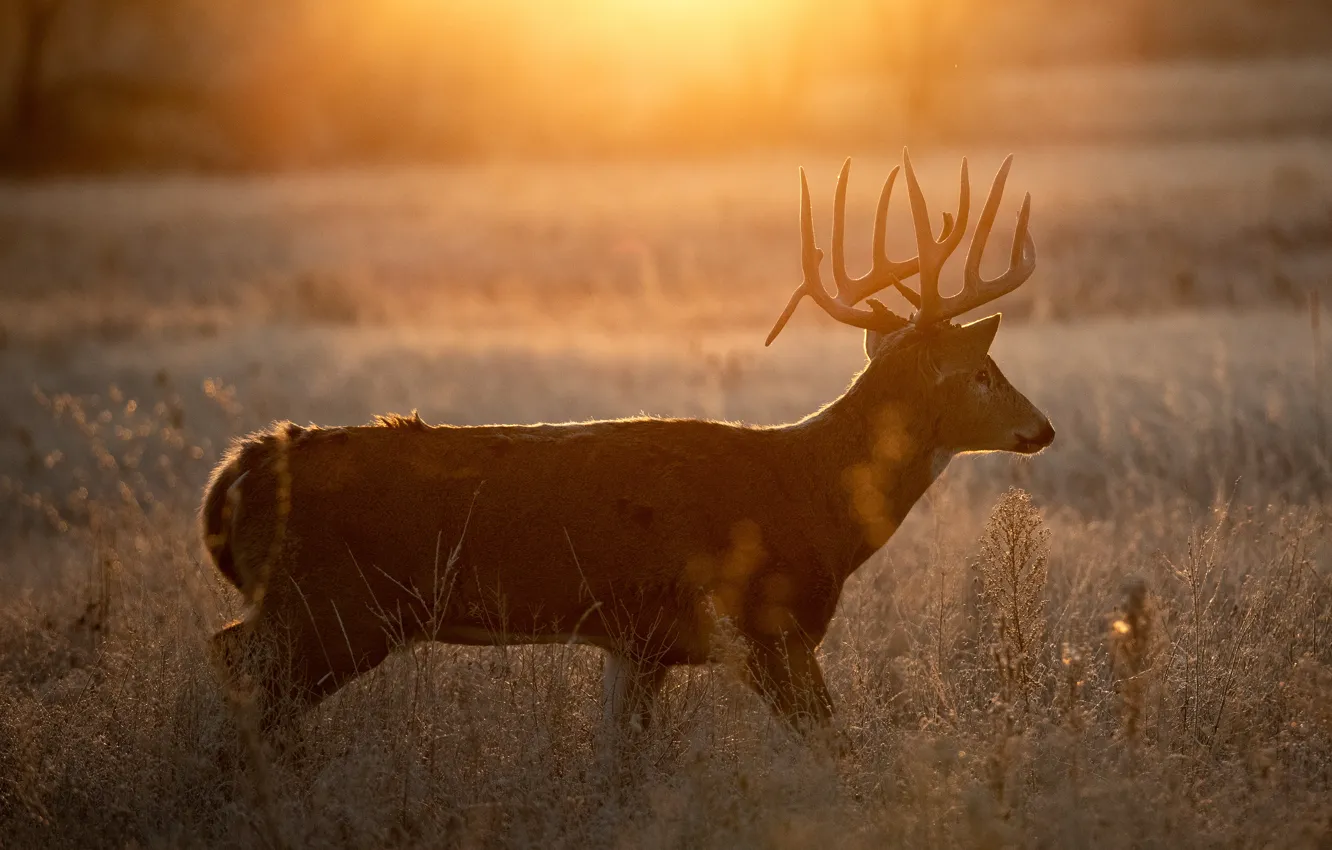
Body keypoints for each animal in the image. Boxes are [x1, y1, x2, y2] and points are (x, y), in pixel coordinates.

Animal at [201, 150, 1054, 744]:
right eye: (983, 373)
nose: (1041, 428)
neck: (811, 498)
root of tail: (237, 471)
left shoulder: (634, 643)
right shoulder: (765, 626)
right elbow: (832, 747)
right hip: (330, 606)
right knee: (240, 675)